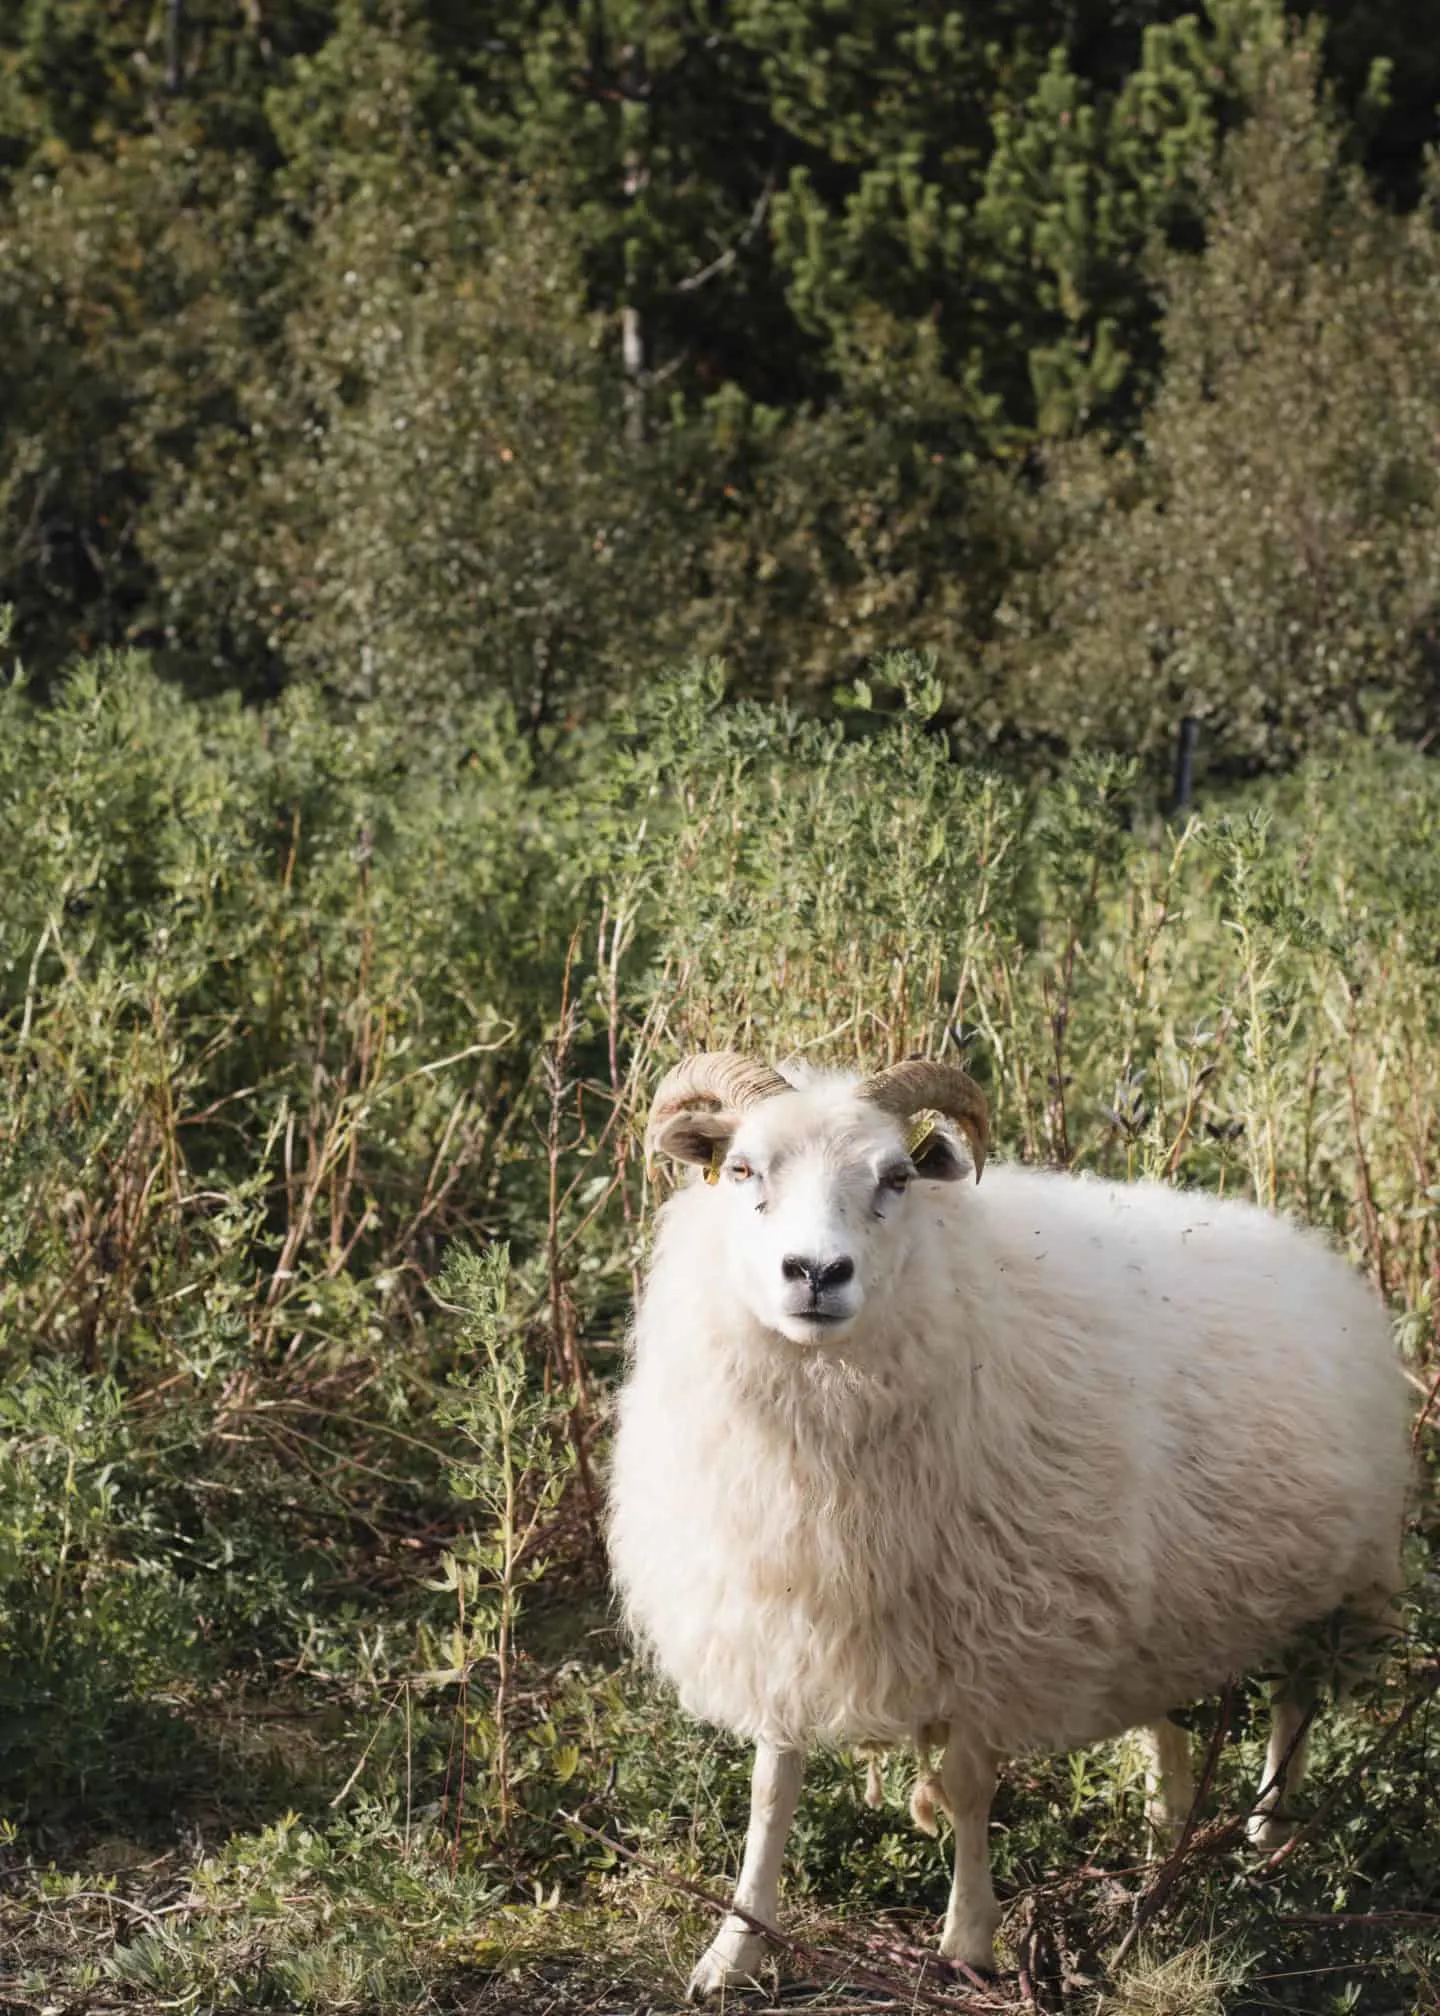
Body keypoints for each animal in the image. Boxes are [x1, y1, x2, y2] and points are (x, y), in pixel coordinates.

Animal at [601, 1056, 1403, 1999]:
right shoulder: (780, 1609)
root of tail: (1305, 1241)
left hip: (1340, 1577)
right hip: (1165, 1603)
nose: (816, 1273)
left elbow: (967, 1786)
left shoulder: (995, 1630)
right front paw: (733, 1951)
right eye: (741, 1170)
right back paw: (1163, 1831)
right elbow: (771, 1789)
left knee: (1295, 1699)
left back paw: (1266, 1833)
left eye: (896, 1178)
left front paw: (968, 1940)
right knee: (1171, 1715)